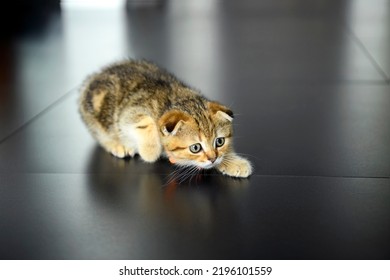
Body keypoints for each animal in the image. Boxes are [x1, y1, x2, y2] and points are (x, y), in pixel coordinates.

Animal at [78, 59, 253, 178]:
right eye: (195, 148)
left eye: (220, 141)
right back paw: (117, 145)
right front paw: (150, 151)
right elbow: (147, 123)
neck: (175, 100)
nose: (213, 159)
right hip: (97, 115)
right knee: (101, 134)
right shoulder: (130, 112)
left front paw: (232, 162)